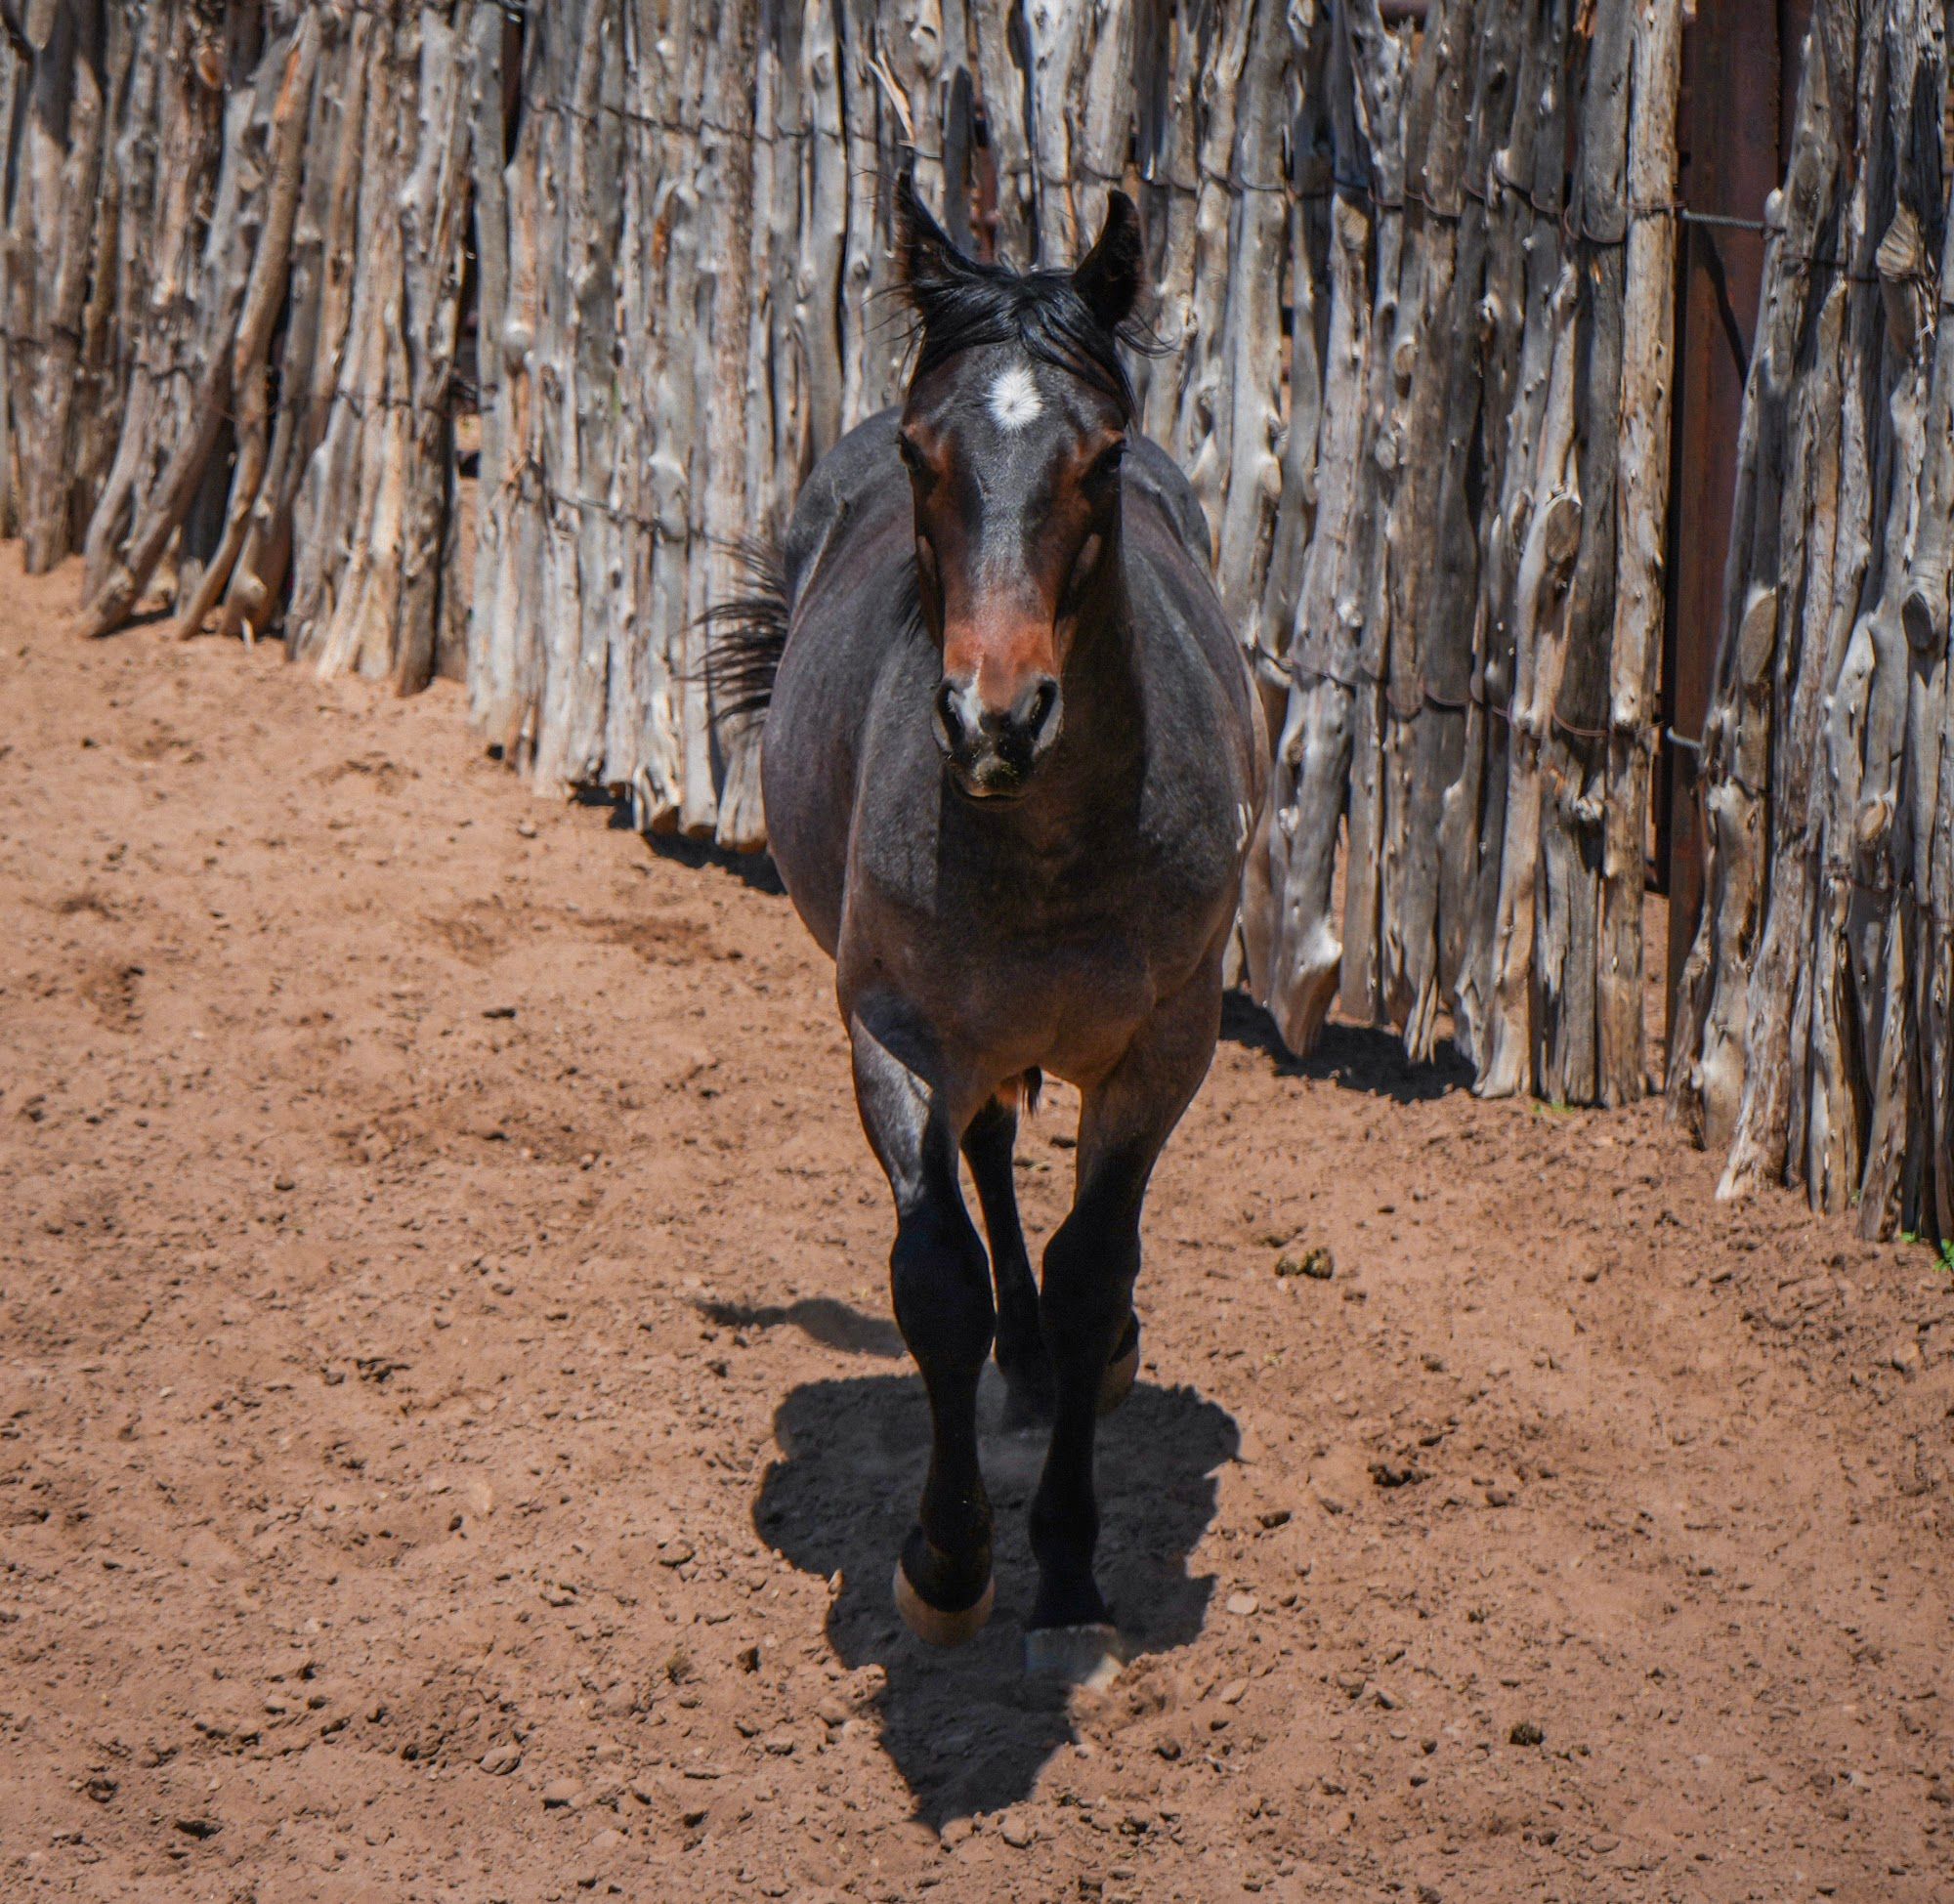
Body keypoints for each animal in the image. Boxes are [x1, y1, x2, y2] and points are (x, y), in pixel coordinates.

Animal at [710, 173, 1266, 1683]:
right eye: (922, 454)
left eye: (1099, 457)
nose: (992, 718)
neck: (1054, 844)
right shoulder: (896, 1033)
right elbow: (939, 1279)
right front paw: (949, 1561)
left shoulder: (1167, 1045)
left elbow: (1091, 1272)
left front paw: (1066, 1568)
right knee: (991, 1154)